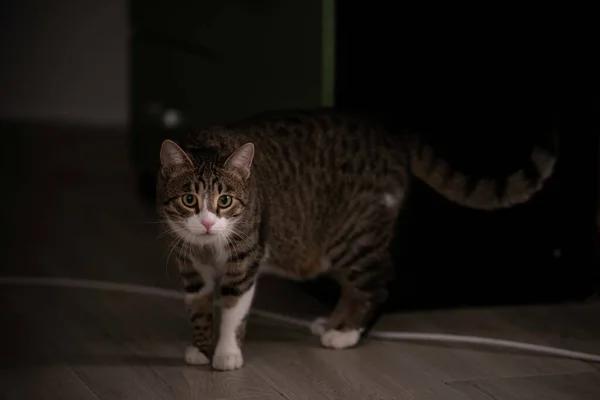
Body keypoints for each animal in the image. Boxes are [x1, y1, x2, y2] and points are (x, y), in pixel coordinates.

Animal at [155, 108, 556, 370]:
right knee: (353, 286)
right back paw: (334, 323)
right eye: (189, 200)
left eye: (225, 201)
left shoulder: (246, 256)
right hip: (339, 241)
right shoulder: (190, 262)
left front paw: (226, 354)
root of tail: (392, 134)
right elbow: (199, 306)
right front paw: (201, 349)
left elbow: (233, 307)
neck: (210, 246)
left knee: (377, 284)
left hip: (354, 234)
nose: (208, 223)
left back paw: (346, 334)